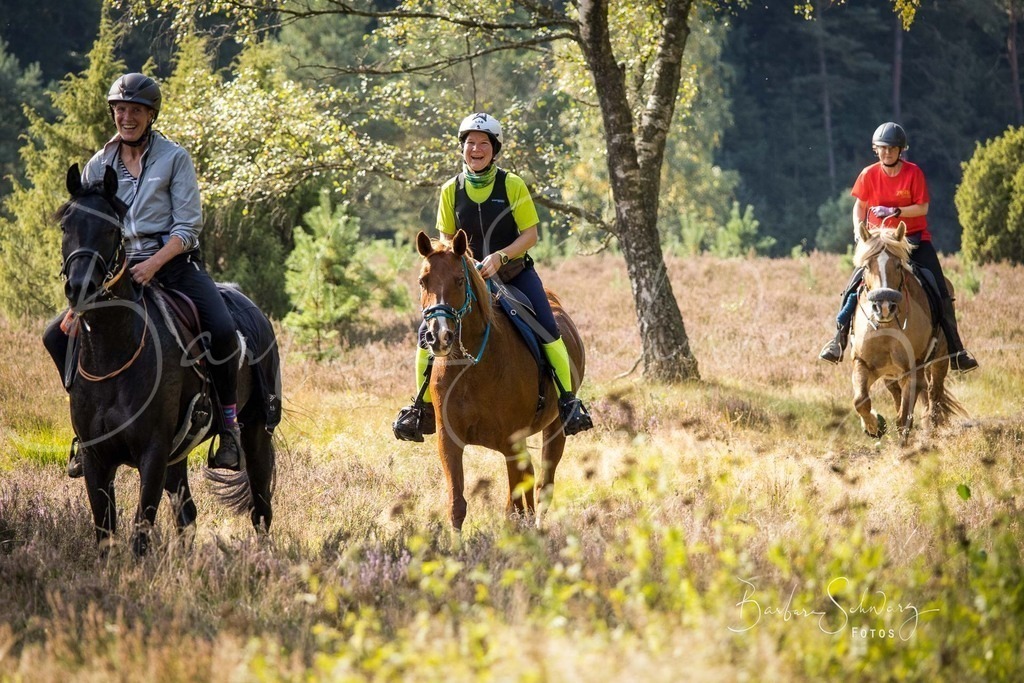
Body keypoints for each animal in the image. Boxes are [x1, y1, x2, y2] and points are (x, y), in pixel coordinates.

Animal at [414, 230, 587, 530]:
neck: (470, 369)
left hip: (555, 428)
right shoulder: (449, 441)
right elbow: (457, 505)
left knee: (543, 484)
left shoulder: (511, 444)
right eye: (424, 281)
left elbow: (515, 507)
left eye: (459, 280)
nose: (438, 336)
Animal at [849, 221, 965, 442]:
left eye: (897, 265)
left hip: (940, 359)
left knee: (934, 392)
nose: (884, 306)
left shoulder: (912, 370)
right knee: (899, 394)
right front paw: (874, 426)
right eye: (866, 266)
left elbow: (904, 418)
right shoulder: (863, 363)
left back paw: (932, 429)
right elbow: (861, 401)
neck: (887, 327)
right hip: (891, 374)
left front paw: (902, 446)